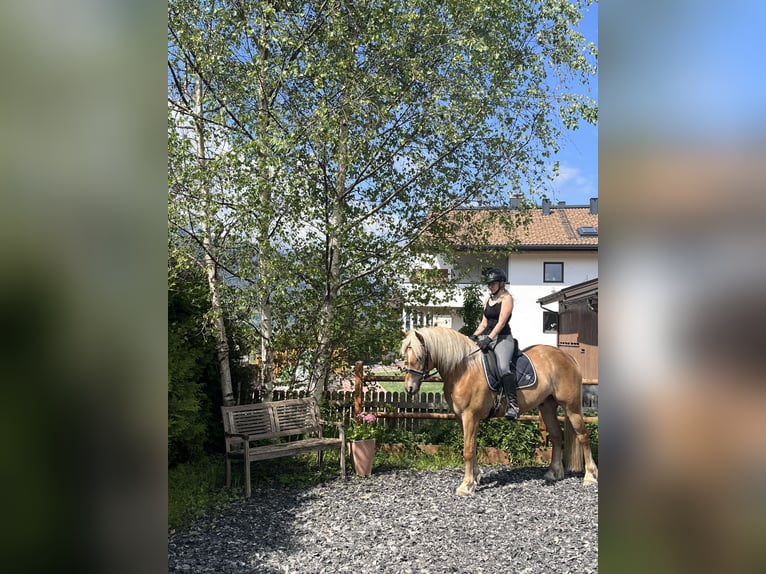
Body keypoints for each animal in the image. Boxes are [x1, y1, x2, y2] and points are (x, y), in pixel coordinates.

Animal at [401, 326, 598, 496]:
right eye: (404, 355)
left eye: (420, 357)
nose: (409, 388)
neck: (463, 369)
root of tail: (567, 356)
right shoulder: (461, 417)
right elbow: (472, 446)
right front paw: (475, 478)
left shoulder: (470, 416)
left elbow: (468, 450)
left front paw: (466, 486)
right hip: (547, 406)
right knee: (557, 436)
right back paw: (553, 472)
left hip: (571, 407)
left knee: (583, 436)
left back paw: (590, 476)